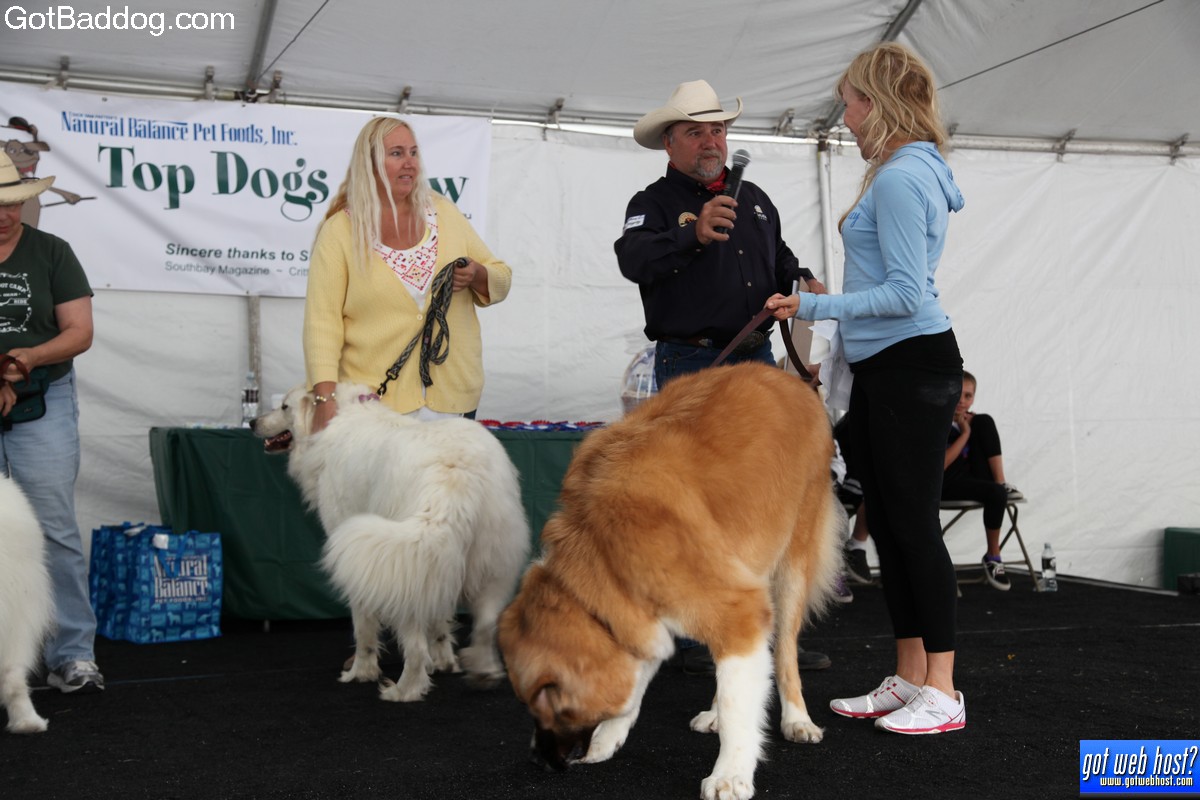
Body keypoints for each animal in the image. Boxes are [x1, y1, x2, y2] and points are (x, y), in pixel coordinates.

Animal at [253, 383, 529, 701]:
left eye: (284, 407)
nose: (252, 422)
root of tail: (455, 470)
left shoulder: (361, 562)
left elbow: (363, 627)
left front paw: (360, 672)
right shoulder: (434, 566)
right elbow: (439, 619)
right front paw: (444, 662)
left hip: (401, 564)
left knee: (416, 647)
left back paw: (403, 690)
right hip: (487, 562)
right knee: (485, 625)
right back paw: (483, 671)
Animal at [498, 363, 842, 800]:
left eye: (547, 698)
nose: (536, 761)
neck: (604, 552)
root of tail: (791, 378)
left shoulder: (736, 605)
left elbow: (739, 704)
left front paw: (731, 773)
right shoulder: (647, 608)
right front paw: (608, 737)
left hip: (790, 566)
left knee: (783, 653)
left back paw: (796, 718)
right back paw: (715, 712)